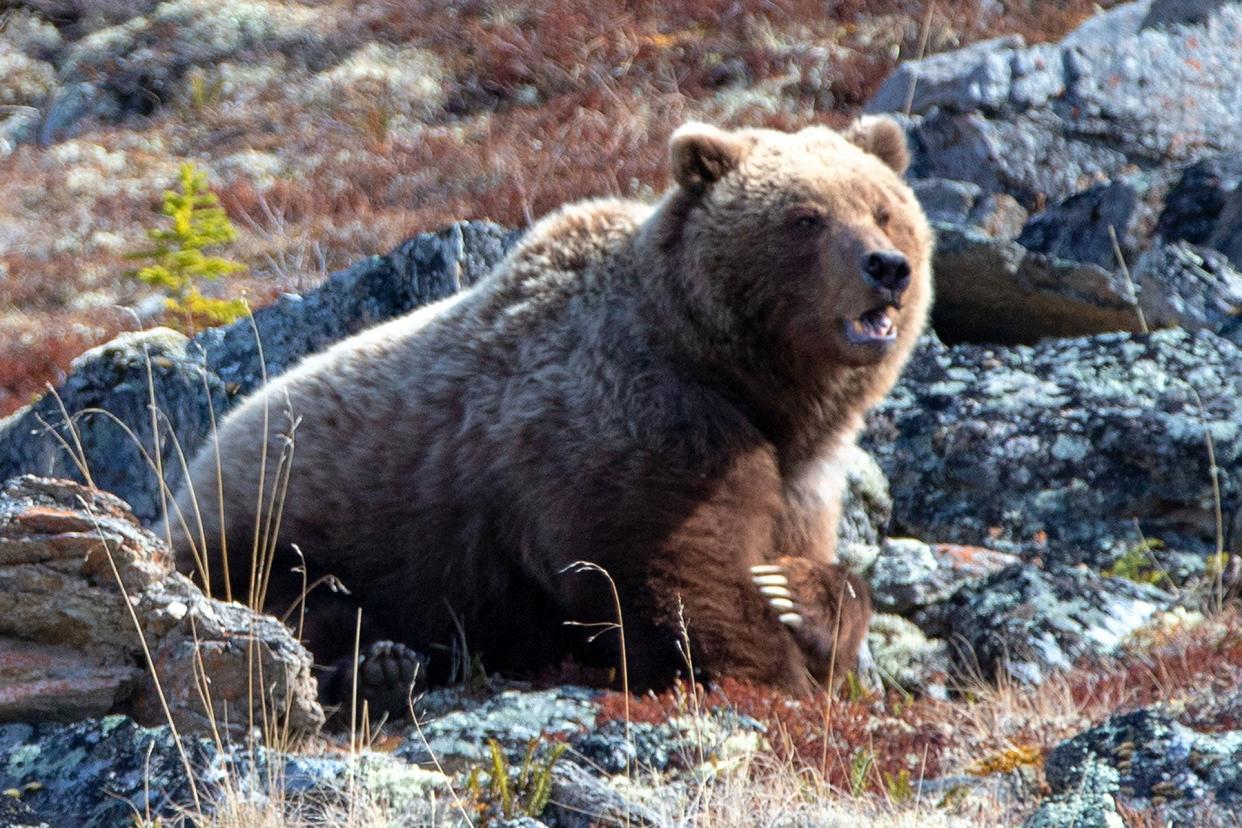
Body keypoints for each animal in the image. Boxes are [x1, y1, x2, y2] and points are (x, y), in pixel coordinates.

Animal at [165, 116, 929, 715]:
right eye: (805, 217)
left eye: (883, 209)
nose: (886, 266)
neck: (745, 384)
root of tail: (193, 462)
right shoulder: (634, 425)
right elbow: (662, 573)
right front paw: (769, 669)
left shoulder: (803, 471)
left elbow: (804, 560)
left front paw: (801, 593)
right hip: (267, 533)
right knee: (289, 614)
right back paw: (375, 669)